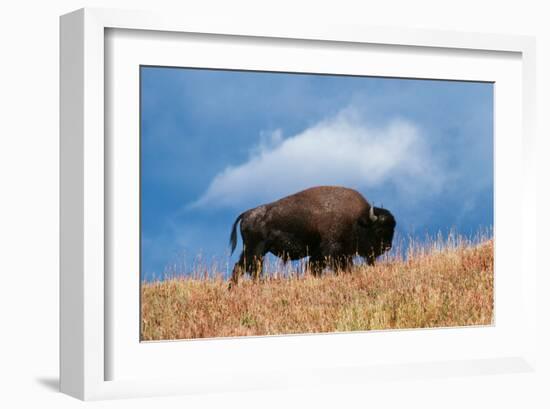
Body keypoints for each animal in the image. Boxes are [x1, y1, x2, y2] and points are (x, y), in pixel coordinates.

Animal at [229, 186, 396, 286]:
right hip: (256, 250)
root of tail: (247, 213)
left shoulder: (331, 254)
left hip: (254, 251)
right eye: (379, 230)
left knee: (242, 267)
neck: (359, 220)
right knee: (250, 268)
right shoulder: (331, 252)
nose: (387, 247)